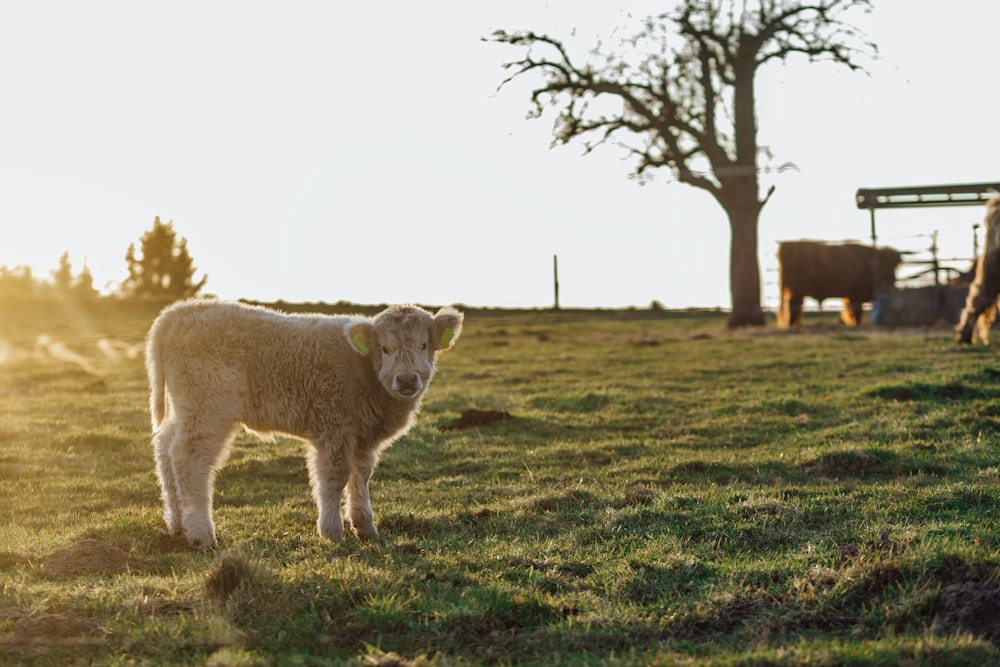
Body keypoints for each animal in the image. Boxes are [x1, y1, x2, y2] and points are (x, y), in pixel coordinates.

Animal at [776, 243, 904, 332]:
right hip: (797, 292)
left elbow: (850, 311)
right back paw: (792, 326)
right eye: (888, 265)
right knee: (793, 307)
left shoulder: (850, 296)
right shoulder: (856, 296)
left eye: (894, 266)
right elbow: (855, 312)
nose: (893, 280)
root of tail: (787, 246)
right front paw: (855, 324)